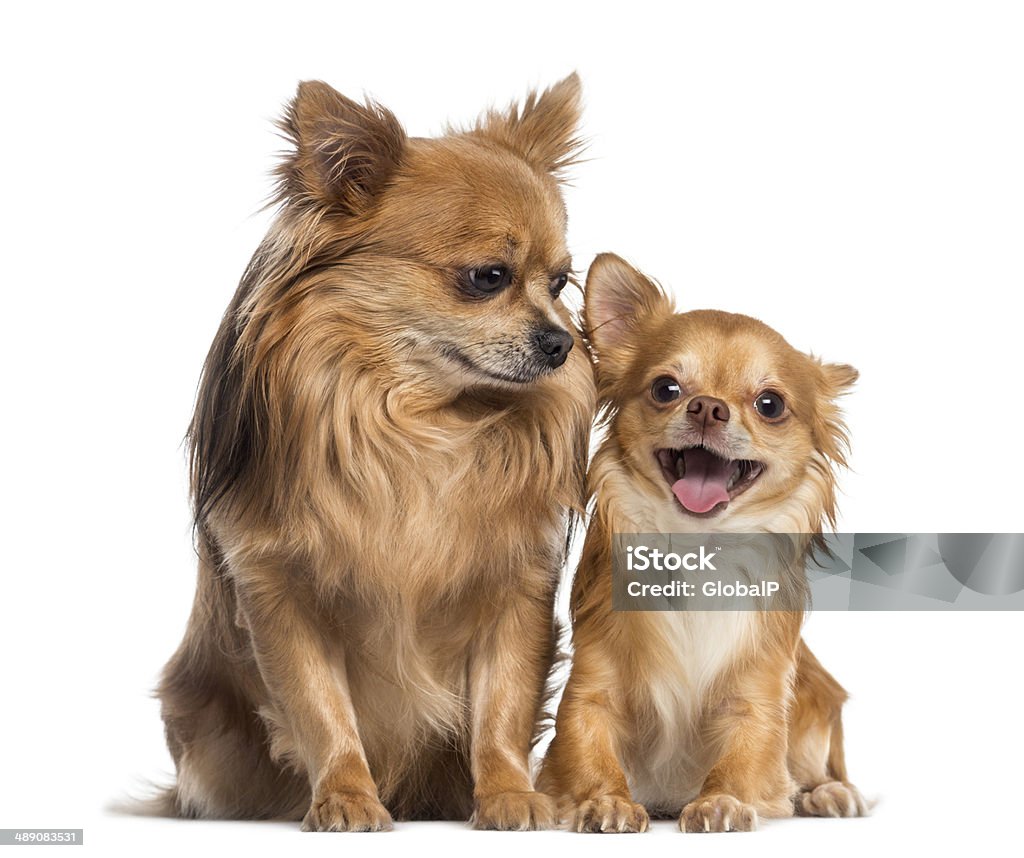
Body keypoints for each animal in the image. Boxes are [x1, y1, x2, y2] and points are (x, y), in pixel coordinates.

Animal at [156, 75, 598, 831]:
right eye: (488, 277)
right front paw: (346, 797)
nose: (562, 342)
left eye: (561, 283)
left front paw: (510, 794)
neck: (416, 424)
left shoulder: (517, 592)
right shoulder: (281, 597)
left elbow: (502, 709)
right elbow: (322, 710)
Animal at [540, 253, 868, 831]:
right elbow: (586, 742)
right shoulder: (591, 687)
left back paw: (829, 793)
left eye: (770, 404)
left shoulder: (758, 696)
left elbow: (746, 754)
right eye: (666, 389)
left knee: (815, 767)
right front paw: (606, 800)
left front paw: (723, 800)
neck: (698, 551)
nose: (708, 407)